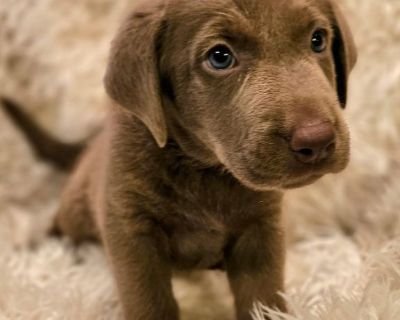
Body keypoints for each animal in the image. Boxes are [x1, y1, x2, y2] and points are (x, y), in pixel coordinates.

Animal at [0, 0, 356, 318]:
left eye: (317, 39)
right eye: (220, 57)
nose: (317, 140)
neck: (202, 168)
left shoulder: (262, 228)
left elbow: (262, 297)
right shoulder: (131, 227)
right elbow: (149, 301)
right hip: (78, 207)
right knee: (62, 223)